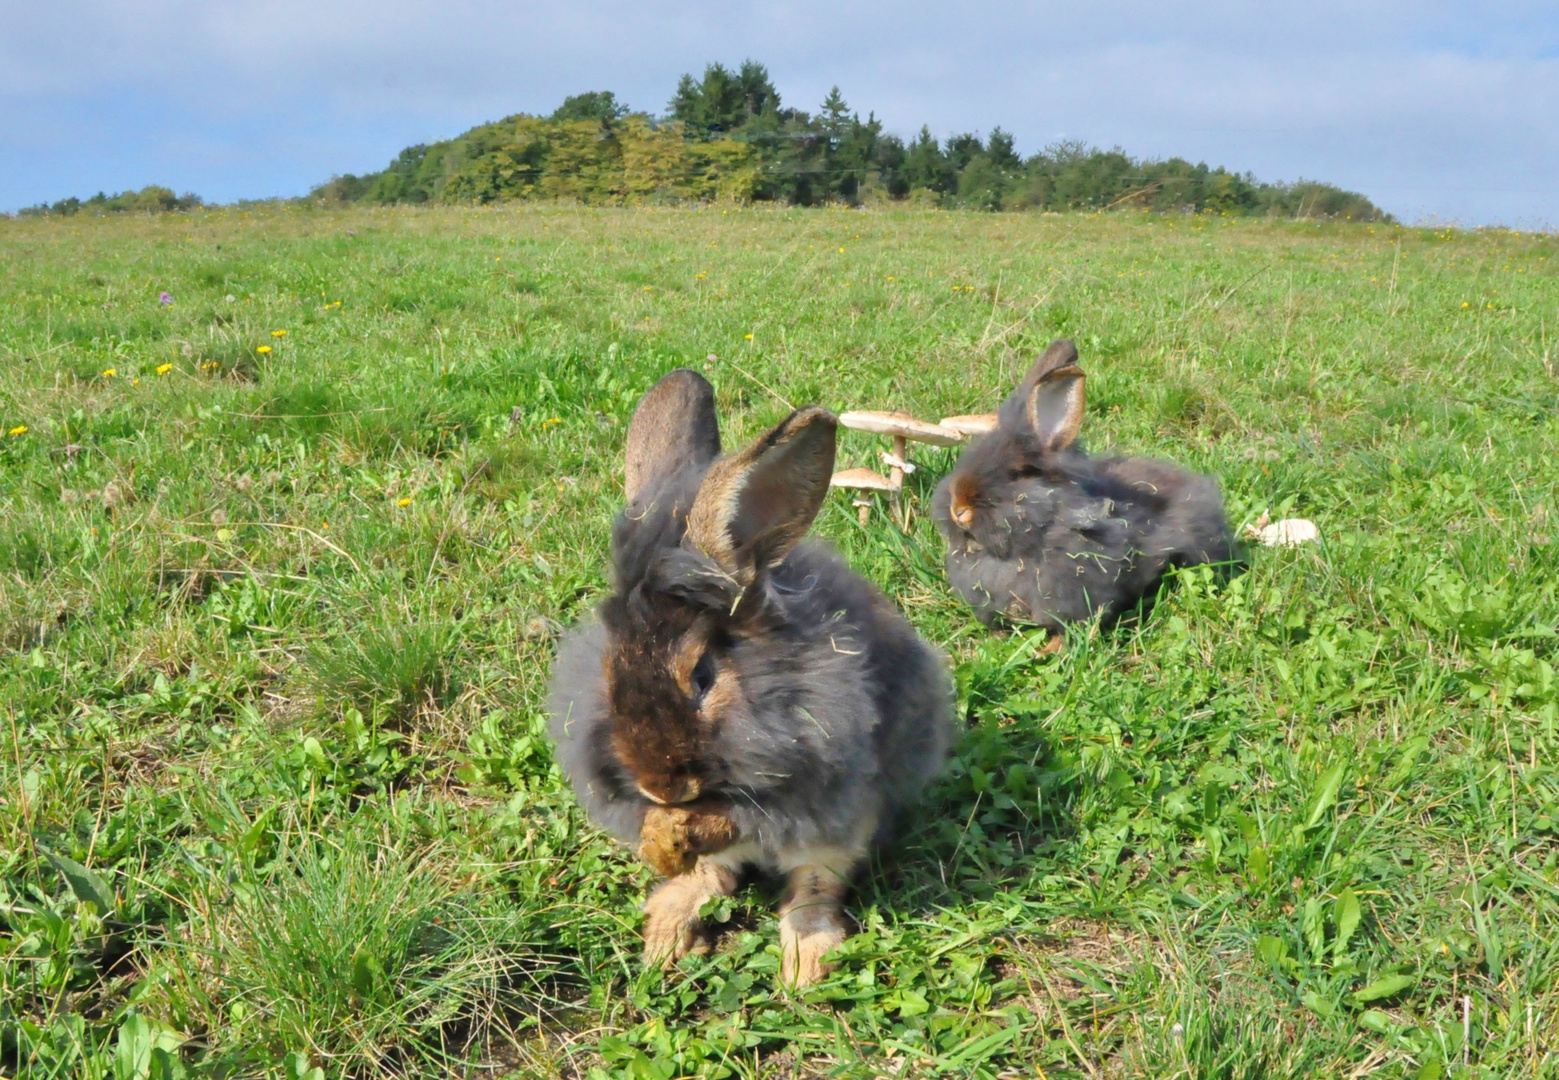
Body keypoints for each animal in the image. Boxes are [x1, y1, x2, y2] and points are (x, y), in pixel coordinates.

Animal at [548, 369, 960, 984]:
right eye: (608, 668)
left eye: (702, 676)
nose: (661, 787)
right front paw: (658, 839)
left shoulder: (808, 781)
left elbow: (740, 820)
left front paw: (679, 830)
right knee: (713, 880)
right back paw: (667, 940)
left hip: (842, 832)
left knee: (813, 888)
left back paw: (805, 963)